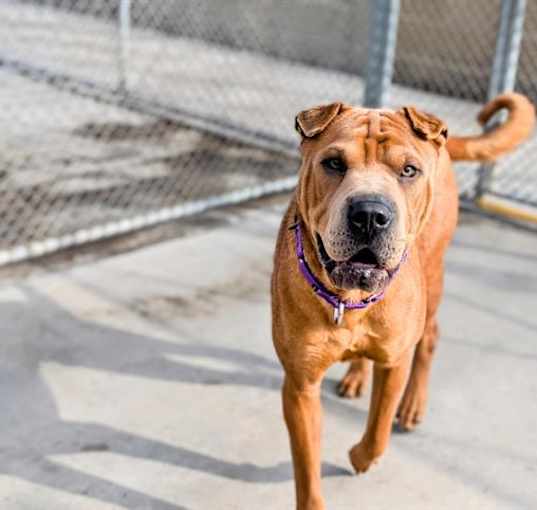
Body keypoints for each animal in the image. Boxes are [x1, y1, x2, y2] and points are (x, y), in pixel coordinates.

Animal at [270, 92, 532, 510]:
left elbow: (378, 431)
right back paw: (356, 374)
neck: (350, 300)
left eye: (408, 170)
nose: (369, 214)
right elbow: (308, 471)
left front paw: (360, 457)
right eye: (333, 163)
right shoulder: (300, 387)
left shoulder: (395, 362)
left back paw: (412, 405)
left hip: (434, 277)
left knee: (431, 337)